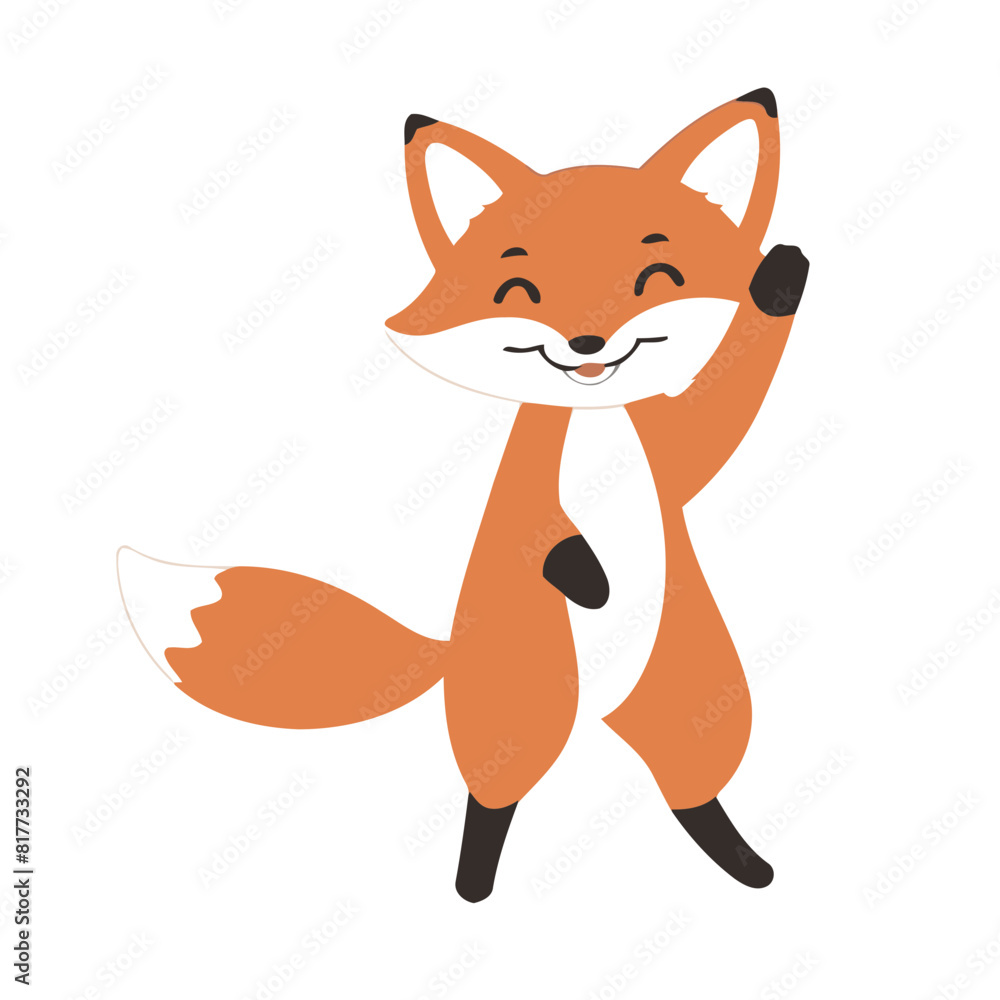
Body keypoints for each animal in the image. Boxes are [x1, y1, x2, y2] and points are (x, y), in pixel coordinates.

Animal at [118, 88, 809, 902]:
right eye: (520, 292)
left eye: (658, 278)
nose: (586, 343)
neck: (593, 418)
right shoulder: (530, 493)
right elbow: (549, 536)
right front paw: (592, 582)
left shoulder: (675, 451)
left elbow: (722, 413)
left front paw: (782, 275)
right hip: (516, 714)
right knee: (494, 798)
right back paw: (474, 885)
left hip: (695, 695)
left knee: (691, 791)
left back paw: (746, 865)